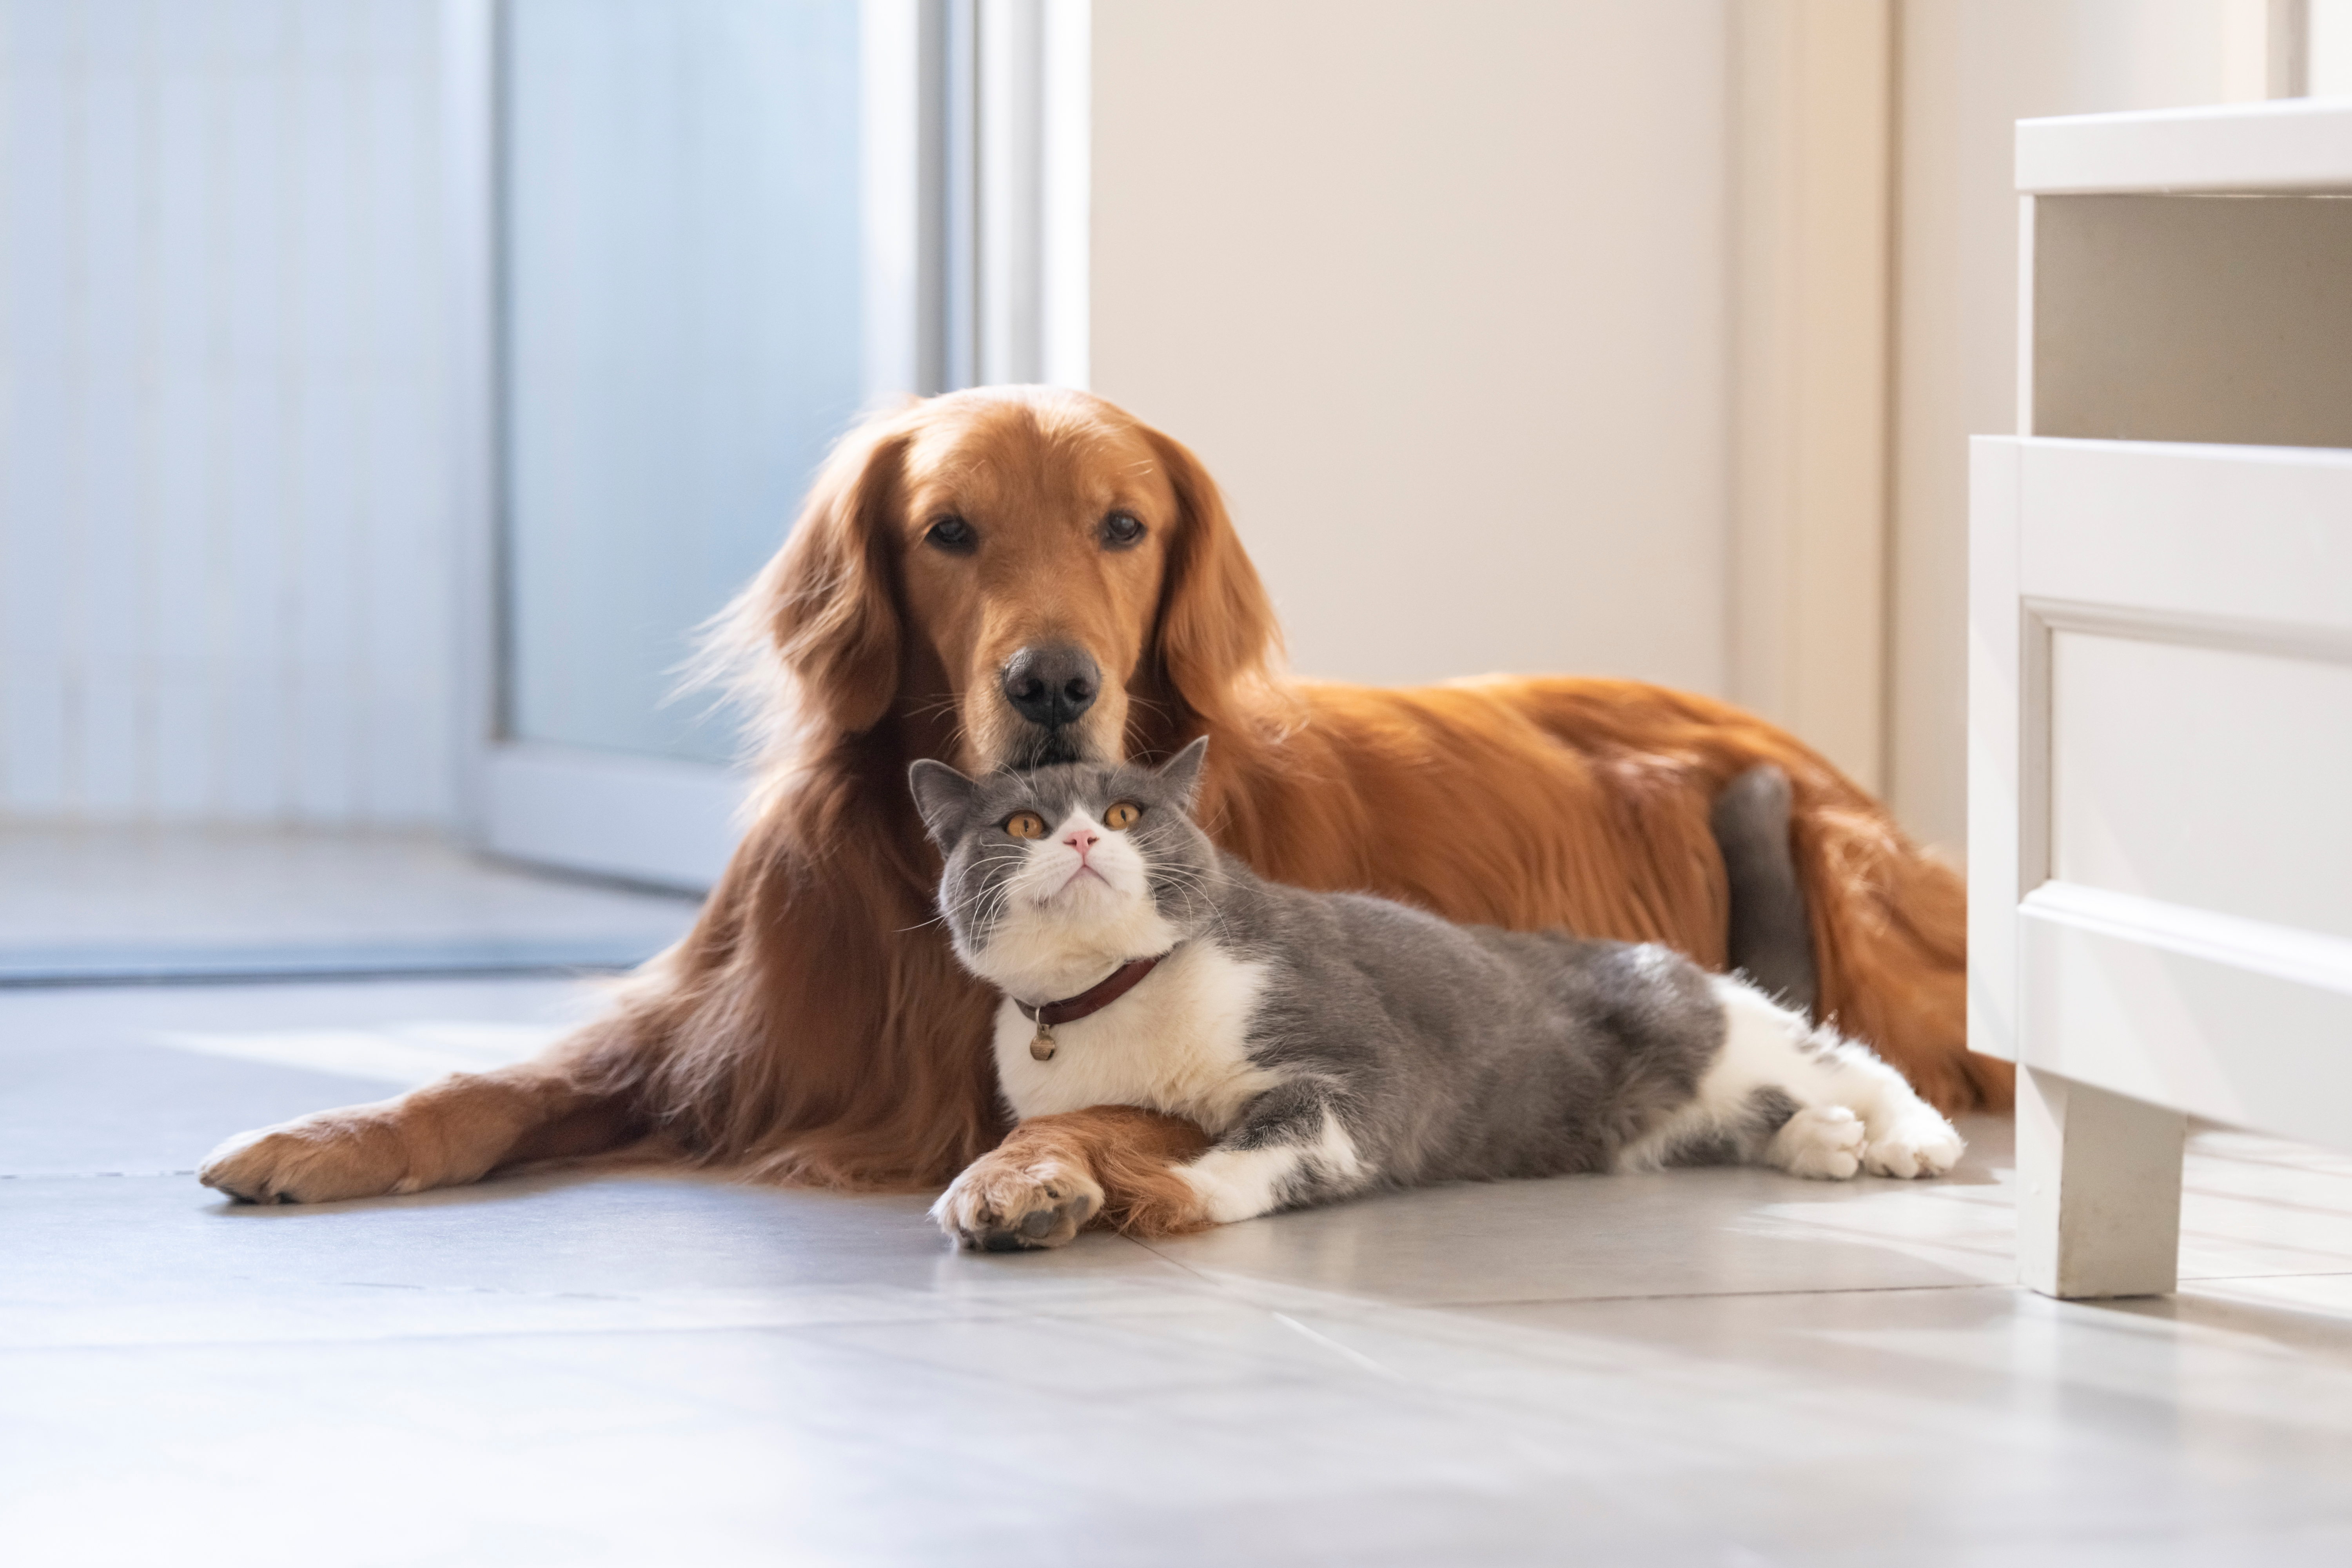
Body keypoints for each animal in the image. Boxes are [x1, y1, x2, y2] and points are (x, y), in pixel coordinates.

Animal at [908, 738, 1957, 1250]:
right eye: (1022, 823)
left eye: (1127, 811)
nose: (1084, 837)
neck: (1115, 999)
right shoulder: (1089, 1098)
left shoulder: (1356, 1056)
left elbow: (1294, 1133)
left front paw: (1181, 1190)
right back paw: (1822, 1140)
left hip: (1718, 1030)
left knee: (1848, 1059)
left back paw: (1908, 1135)